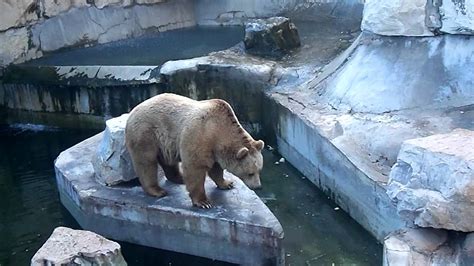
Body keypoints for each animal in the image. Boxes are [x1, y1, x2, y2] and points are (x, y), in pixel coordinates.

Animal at [124, 93, 264, 208]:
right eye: (250, 173)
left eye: (259, 170)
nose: (258, 186)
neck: (218, 131)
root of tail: (133, 111)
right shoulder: (199, 136)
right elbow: (195, 168)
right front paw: (204, 202)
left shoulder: (214, 148)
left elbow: (216, 168)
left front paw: (227, 183)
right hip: (146, 133)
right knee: (146, 162)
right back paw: (157, 190)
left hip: (165, 142)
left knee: (168, 160)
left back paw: (179, 178)